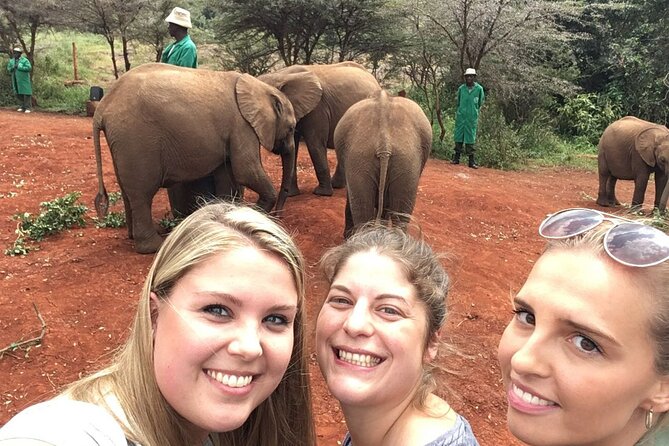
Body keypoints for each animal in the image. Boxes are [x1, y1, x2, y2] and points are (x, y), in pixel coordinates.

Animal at [93, 63, 321, 254]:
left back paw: (132, 236)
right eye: (291, 127)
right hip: (137, 139)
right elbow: (246, 171)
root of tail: (102, 107)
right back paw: (153, 246)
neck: (259, 86)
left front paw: (229, 216)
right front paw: (252, 213)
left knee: (128, 191)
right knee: (143, 193)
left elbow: (227, 176)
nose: (278, 217)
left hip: (123, 141)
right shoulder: (241, 125)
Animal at [258, 62, 382, 196]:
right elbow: (293, 146)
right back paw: (337, 185)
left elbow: (315, 144)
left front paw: (321, 194)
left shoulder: (317, 108)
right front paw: (292, 194)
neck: (280, 75)